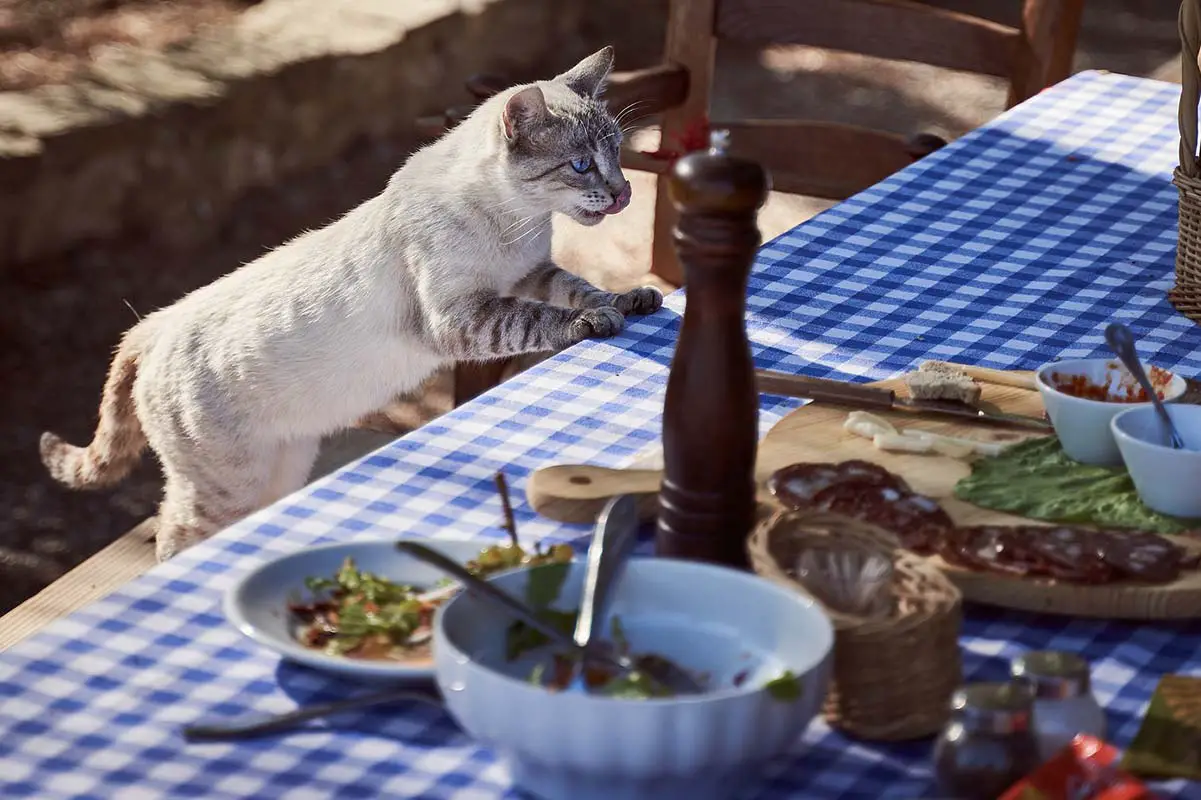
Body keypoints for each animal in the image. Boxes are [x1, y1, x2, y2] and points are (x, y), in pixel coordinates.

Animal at [42, 46, 662, 557]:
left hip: (282, 468)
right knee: (173, 537)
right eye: (581, 165)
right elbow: (544, 318)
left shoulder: (531, 272)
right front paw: (593, 321)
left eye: (619, 153)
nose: (624, 192)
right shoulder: (461, 316)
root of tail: (156, 322)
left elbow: (577, 285)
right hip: (227, 485)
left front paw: (631, 298)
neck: (519, 223)